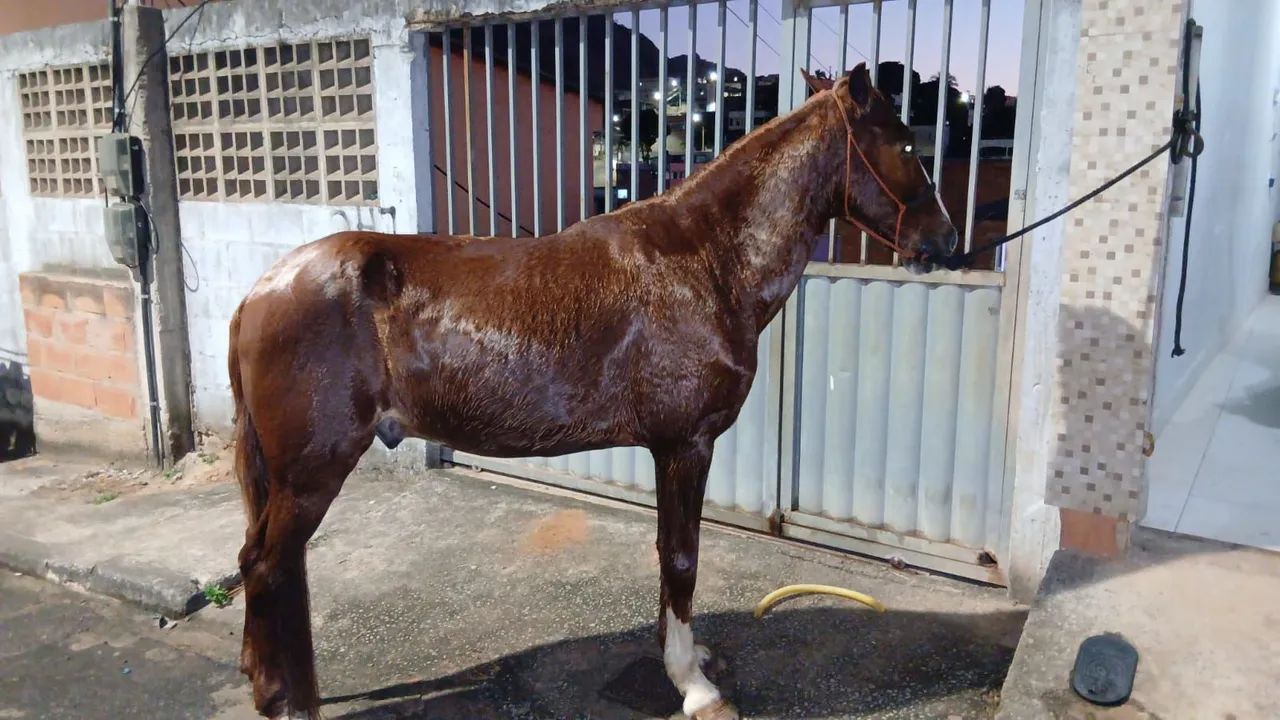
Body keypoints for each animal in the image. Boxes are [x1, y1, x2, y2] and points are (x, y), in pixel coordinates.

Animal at [228, 63, 957, 720]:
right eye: (908, 145)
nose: (944, 239)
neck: (705, 260)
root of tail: (262, 289)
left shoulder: (671, 449)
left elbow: (669, 552)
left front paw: (686, 656)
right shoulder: (686, 445)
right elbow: (683, 558)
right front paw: (694, 687)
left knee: (263, 562)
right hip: (312, 472)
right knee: (268, 565)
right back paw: (286, 701)